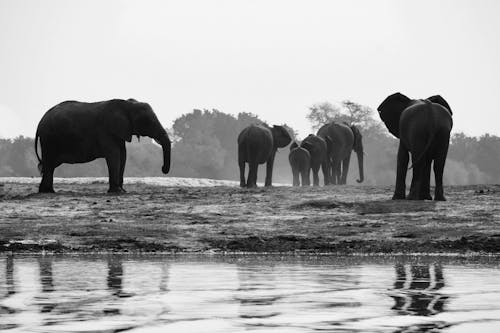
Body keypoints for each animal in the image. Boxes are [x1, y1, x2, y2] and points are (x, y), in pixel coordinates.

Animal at [34, 98, 172, 192]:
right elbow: (114, 155)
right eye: (149, 121)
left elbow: (123, 155)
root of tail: (40, 122)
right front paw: (117, 192)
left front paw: (123, 191)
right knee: (49, 162)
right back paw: (48, 191)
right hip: (50, 139)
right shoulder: (106, 130)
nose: (162, 169)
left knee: (49, 164)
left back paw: (45, 191)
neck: (127, 105)